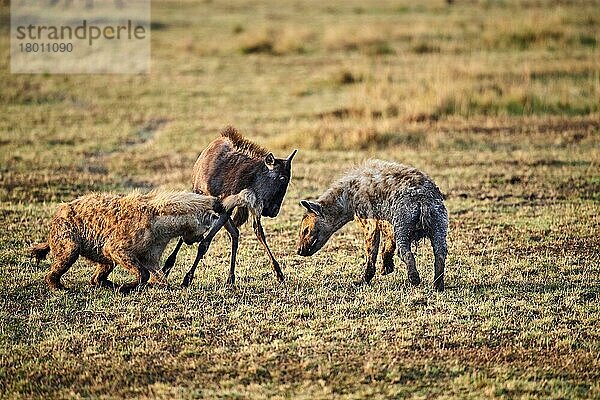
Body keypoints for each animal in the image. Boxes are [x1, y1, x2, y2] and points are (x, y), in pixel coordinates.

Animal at [29, 189, 246, 292]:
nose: (198, 239)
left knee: (99, 275)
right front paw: (128, 287)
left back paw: (109, 284)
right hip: (69, 240)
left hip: (100, 254)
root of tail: (57, 214)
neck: (162, 223)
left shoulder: (151, 253)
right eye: (204, 229)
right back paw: (60, 287)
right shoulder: (117, 247)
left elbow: (159, 277)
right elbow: (142, 272)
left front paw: (147, 285)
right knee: (61, 262)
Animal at [163, 126, 296, 286]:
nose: (273, 211)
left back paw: (231, 277)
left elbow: (208, 242)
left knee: (239, 233)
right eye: (282, 178)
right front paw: (184, 276)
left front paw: (279, 274)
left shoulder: (227, 210)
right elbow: (198, 239)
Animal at [298, 159, 448, 290]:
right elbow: (388, 244)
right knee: (440, 251)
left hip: (403, 220)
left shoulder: (369, 218)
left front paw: (363, 280)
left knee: (404, 250)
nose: (299, 250)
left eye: (305, 230)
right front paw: (386, 268)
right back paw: (437, 285)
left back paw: (415, 279)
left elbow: (371, 250)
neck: (347, 197)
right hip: (439, 219)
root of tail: (422, 199)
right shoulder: (387, 220)